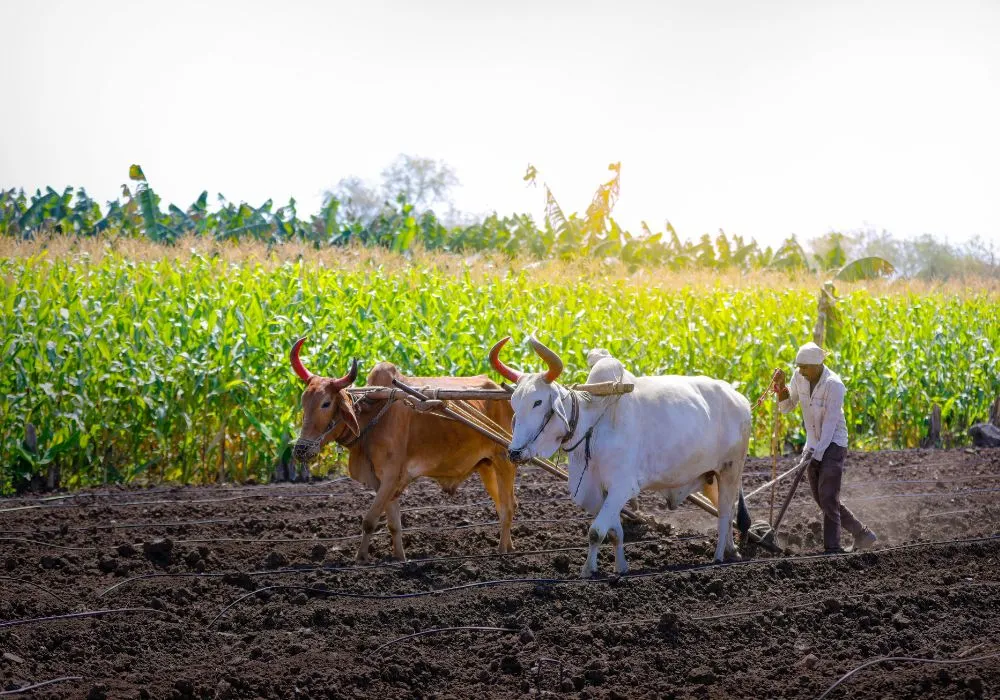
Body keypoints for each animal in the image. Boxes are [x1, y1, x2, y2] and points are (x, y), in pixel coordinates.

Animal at [290, 338, 518, 562]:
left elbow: (369, 521)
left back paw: (502, 552)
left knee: (508, 507)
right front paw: (399, 558)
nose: (301, 449)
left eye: (326, 403)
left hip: (505, 460)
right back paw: (511, 546)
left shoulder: (391, 476)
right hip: (487, 466)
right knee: (502, 505)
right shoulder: (381, 481)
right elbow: (393, 524)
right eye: (303, 401)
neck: (374, 414)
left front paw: (361, 559)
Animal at [489, 335, 752, 577]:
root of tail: (740, 398)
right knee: (728, 510)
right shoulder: (601, 491)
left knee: (725, 512)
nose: (514, 452)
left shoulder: (622, 487)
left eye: (537, 402)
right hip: (716, 474)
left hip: (731, 468)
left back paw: (719, 556)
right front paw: (621, 568)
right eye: (514, 403)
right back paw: (732, 551)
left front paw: (588, 570)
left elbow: (596, 532)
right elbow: (614, 533)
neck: (592, 426)